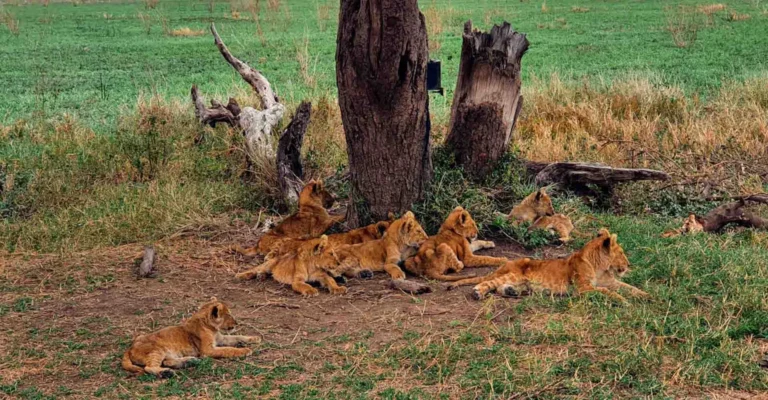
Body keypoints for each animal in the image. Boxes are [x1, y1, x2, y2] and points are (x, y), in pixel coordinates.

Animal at [122, 298, 259, 378]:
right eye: (229, 315)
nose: (237, 323)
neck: (212, 328)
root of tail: (130, 347)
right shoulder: (207, 350)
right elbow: (228, 349)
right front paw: (245, 350)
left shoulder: (221, 339)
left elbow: (236, 336)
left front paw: (254, 338)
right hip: (157, 350)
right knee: (149, 367)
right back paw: (166, 372)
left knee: (167, 362)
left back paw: (190, 361)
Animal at [448, 229, 649, 302]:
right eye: (621, 253)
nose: (628, 264)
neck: (601, 268)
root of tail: (505, 265)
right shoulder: (583, 288)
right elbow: (607, 292)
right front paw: (623, 301)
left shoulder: (612, 282)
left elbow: (629, 287)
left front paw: (647, 296)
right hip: (514, 273)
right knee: (487, 283)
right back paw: (478, 293)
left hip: (520, 282)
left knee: (499, 287)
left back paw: (511, 292)